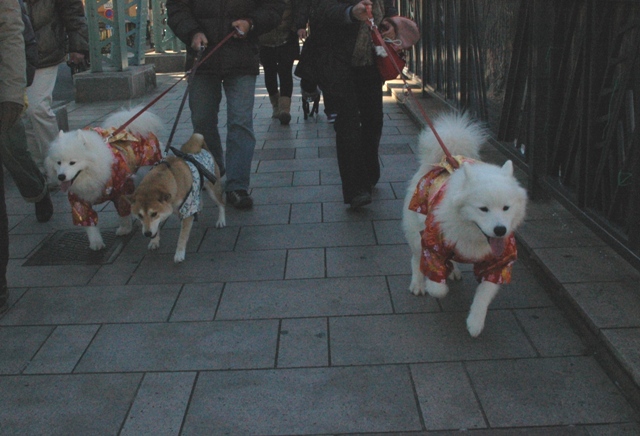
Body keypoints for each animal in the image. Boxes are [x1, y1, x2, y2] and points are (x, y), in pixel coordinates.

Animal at [46, 109, 164, 250]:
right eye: (58, 163)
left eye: (72, 163)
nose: (61, 176)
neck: (91, 176)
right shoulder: (79, 202)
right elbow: (89, 223)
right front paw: (96, 243)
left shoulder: (121, 190)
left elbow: (123, 212)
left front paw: (125, 228)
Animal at [126, 133, 226, 262]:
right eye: (139, 215)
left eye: (154, 214)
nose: (147, 234)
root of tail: (204, 149)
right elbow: (156, 228)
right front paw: (154, 241)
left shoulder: (187, 212)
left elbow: (182, 236)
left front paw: (179, 253)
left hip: (213, 188)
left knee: (221, 203)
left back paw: (221, 220)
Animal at [402, 113, 528, 338]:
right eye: (483, 209)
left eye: (506, 208)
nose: (500, 230)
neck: (473, 236)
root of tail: (438, 162)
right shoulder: (433, 246)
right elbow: (437, 286)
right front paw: (435, 284)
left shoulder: (499, 263)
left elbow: (484, 294)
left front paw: (475, 322)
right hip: (417, 233)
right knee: (416, 258)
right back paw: (418, 283)